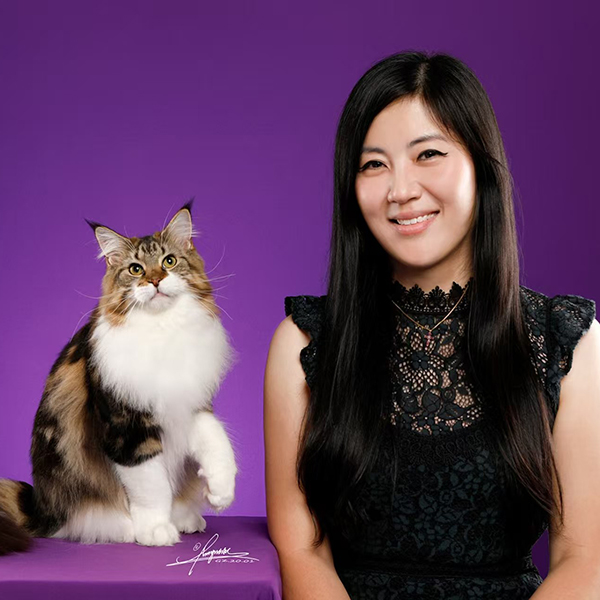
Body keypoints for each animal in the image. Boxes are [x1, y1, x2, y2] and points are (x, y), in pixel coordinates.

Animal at [0, 202, 237, 552]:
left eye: (169, 261)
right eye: (136, 269)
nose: (155, 280)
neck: (163, 330)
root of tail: (41, 508)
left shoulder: (191, 405)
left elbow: (217, 441)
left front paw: (221, 491)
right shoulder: (129, 429)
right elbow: (152, 486)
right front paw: (155, 530)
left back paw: (186, 518)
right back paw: (127, 528)